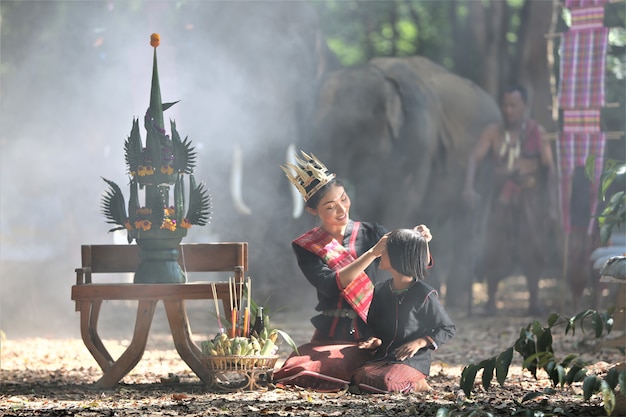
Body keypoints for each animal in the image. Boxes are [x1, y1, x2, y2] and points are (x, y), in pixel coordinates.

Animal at [304, 56, 500, 308]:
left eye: (346, 130)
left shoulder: (416, 139)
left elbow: (400, 202)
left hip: (488, 159)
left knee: (469, 214)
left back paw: (458, 301)